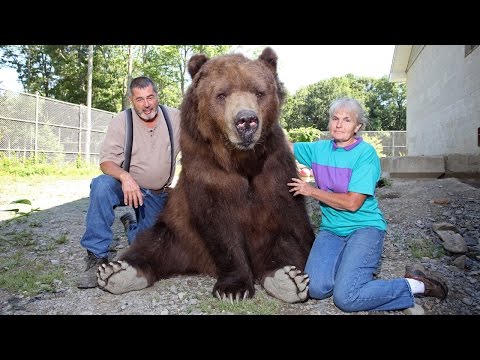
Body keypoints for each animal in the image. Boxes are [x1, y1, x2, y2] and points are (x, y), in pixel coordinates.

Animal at [97, 45, 316, 304]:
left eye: (259, 92)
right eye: (221, 94)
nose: (246, 121)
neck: (241, 160)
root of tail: (198, 264)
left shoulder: (274, 168)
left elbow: (292, 224)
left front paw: (295, 271)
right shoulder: (207, 169)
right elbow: (219, 225)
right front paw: (233, 288)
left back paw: (287, 279)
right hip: (180, 234)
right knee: (155, 244)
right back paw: (117, 272)